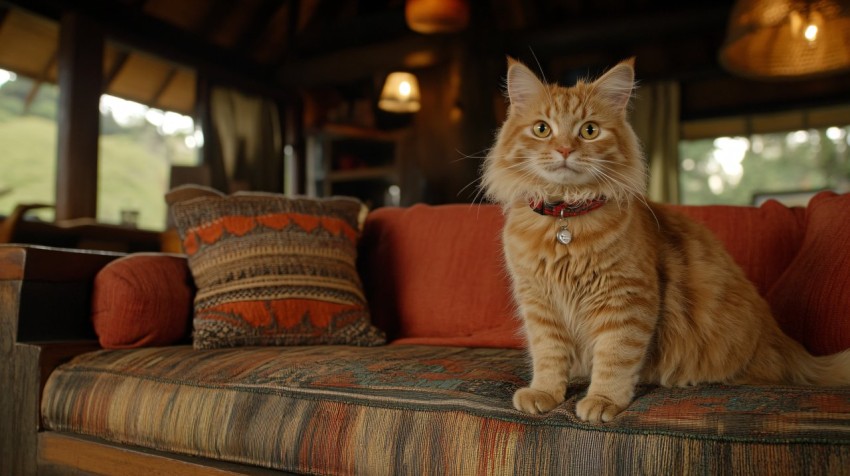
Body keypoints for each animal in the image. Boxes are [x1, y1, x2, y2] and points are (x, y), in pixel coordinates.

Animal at [480, 57, 848, 422]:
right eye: (542, 129)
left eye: (589, 130)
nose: (565, 150)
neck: (564, 221)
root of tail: (786, 342)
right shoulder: (539, 305)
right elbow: (549, 355)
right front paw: (545, 393)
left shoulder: (626, 299)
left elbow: (615, 358)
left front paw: (603, 400)